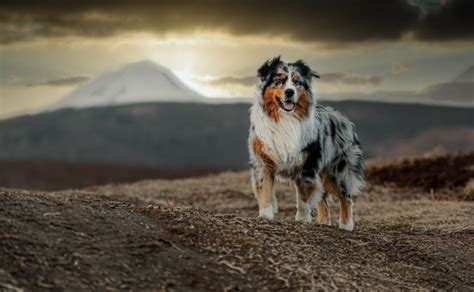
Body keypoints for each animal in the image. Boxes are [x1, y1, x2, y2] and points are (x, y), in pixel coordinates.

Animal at [246, 56, 364, 230]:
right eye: (279, 81)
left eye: (297, 82)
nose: (289, 92)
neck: (285, 119)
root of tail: (345, 118)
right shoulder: (264, 162)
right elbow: (265, 191)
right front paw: (265, 215)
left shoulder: (306, 165)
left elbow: (303, 197)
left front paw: (302, 219)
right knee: (323, 201)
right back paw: (323, 222)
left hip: (338, 170)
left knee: (345, 196)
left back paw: (346, 225)